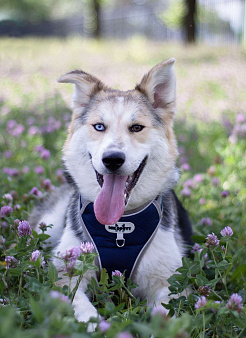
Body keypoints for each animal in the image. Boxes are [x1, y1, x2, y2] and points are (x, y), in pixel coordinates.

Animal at [29, 58, 193, 324]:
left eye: (136, 127)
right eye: (99, 126)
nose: (112, 159)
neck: (121, 223)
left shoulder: (169, 283)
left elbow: (164, 316)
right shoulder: (65, 275)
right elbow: (79, 305)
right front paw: (93, 324)